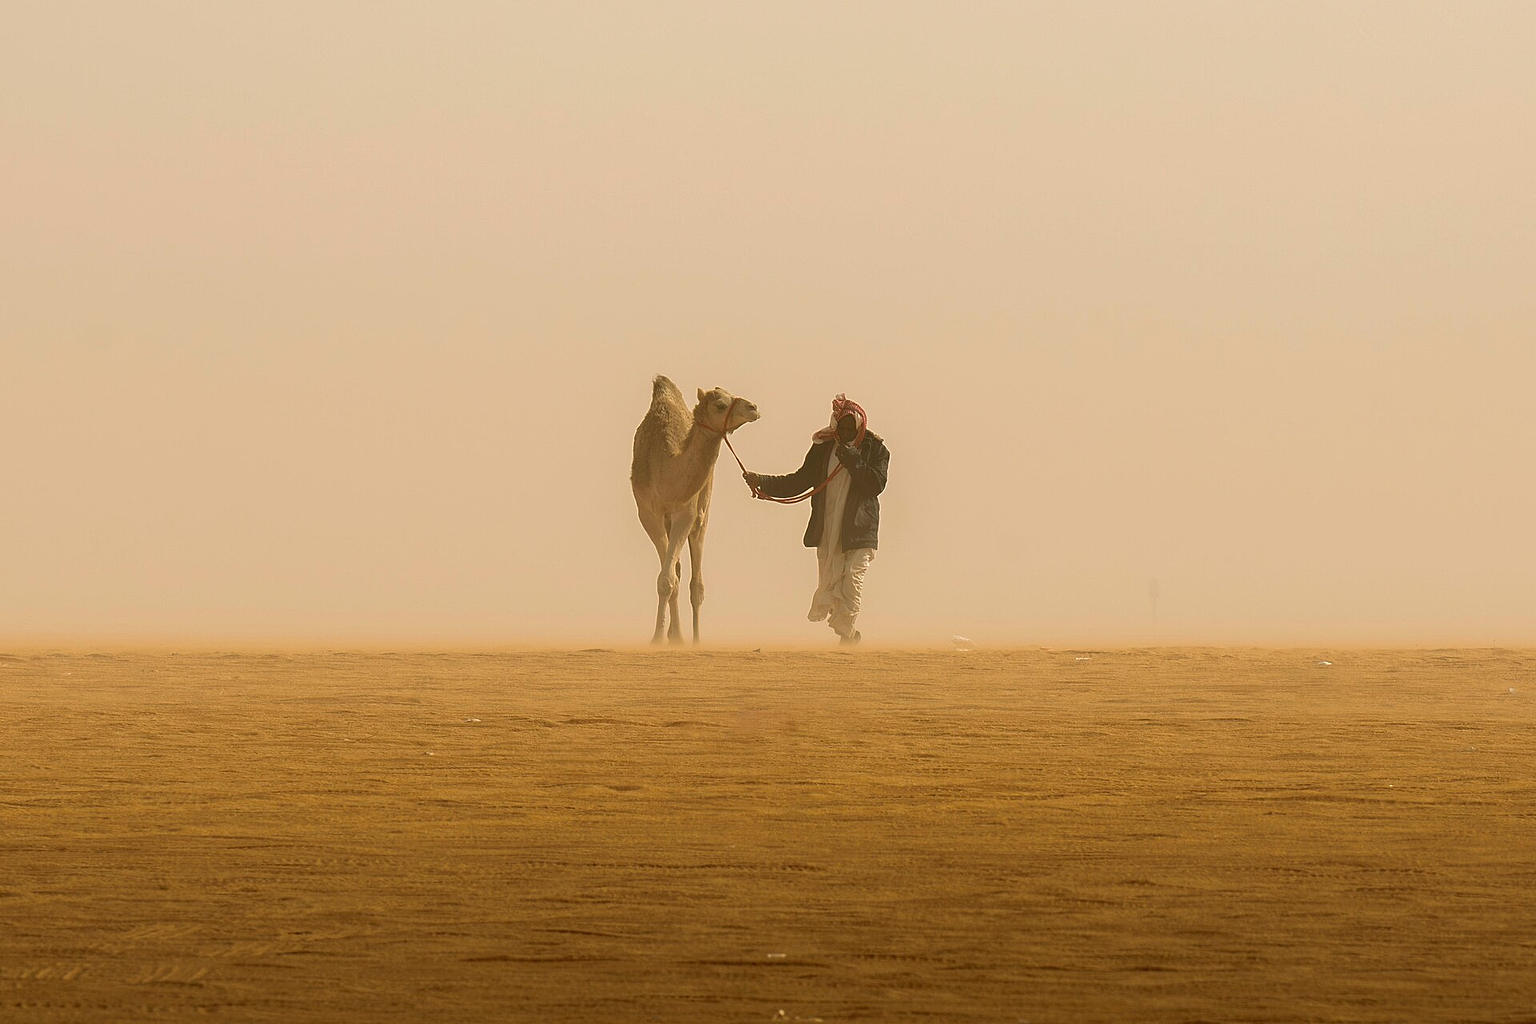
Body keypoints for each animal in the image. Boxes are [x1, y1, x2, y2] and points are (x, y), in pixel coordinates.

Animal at [631, 376, 760, 644]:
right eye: (721, 405)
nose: (753, 407)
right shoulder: (648, 514)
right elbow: (667, 579)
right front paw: (659, 638)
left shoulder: (686, 512)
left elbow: (670, 579)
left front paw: (672, 639)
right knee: (678, 573)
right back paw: (675, 634)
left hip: (703, 511)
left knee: (696, 583)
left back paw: (694, 639)